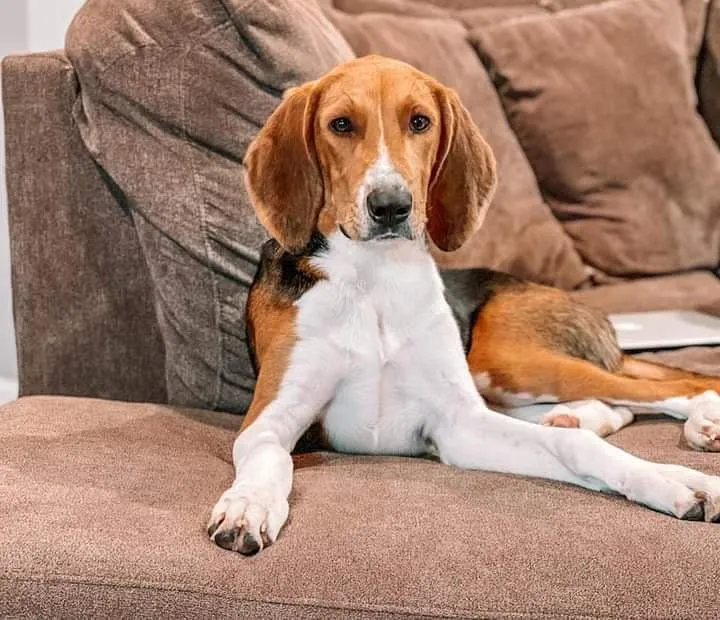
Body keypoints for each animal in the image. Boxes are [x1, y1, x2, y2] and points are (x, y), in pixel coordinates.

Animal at [207, 55, 720, 556]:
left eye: (419, 121)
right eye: (340, 124)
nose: (390, 206)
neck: (376, 278)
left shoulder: (459, 423)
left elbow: (576, 447)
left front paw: (675, 482)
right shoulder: (269, 420)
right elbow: (270, 457)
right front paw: (248, 504)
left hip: (507, 363)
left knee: (675, 386)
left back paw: (699, 423)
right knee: (616, 407)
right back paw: (586, 415)